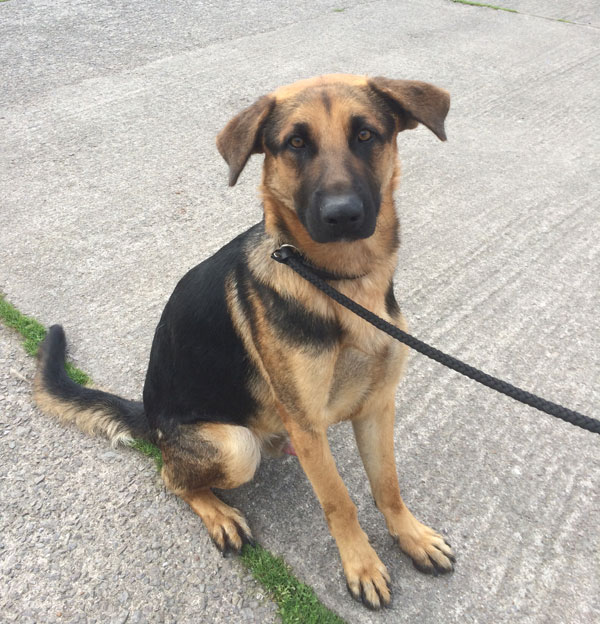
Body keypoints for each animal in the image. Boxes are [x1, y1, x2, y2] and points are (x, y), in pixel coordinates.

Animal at [32, 73, 452, 608]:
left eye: (365, 135)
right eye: (296, 143)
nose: (342, 216)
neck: (339, 284)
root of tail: (150, 416)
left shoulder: (378, 404)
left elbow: (388, 484)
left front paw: (410, 536)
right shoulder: (308, 426)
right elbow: (339, 500)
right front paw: (361, 565)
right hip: (234, 447)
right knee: (170, 477)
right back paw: (219, 514)